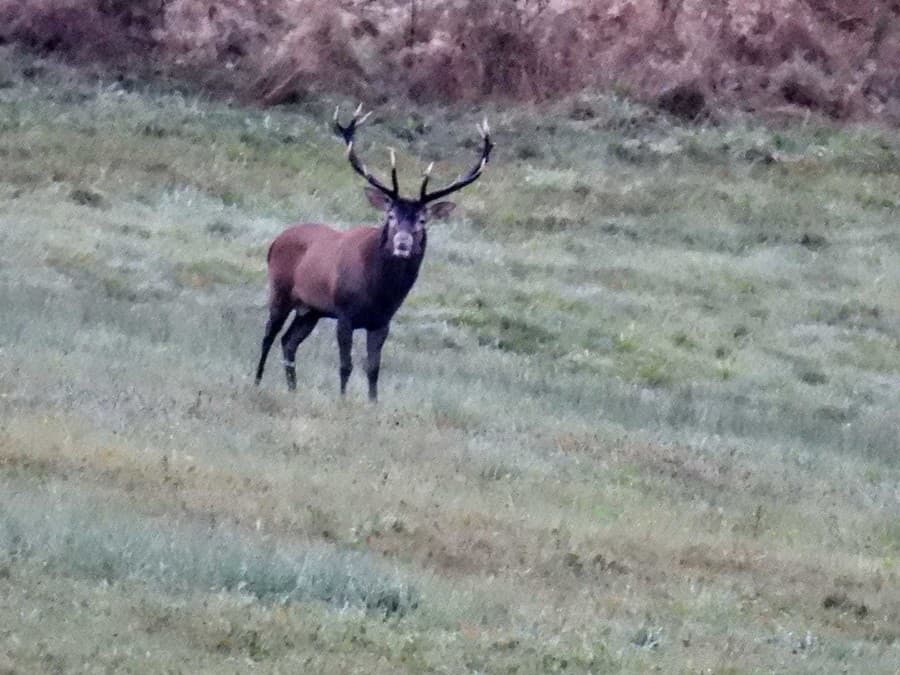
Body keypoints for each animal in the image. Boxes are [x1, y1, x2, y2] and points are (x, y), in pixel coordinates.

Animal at [253, 106, 492, 402]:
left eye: (422, 220)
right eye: (391, 215)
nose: (403, 243)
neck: (379, 291)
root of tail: (276, 241)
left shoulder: (382, 321)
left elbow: (373, 368)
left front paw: (373, 402)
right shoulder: (344, 313)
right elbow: (346, 365)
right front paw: (343, 399)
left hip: (311, 310)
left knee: (289, 341)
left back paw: (293, 388)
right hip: (280, 289)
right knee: (269, 335)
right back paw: (257, 381)